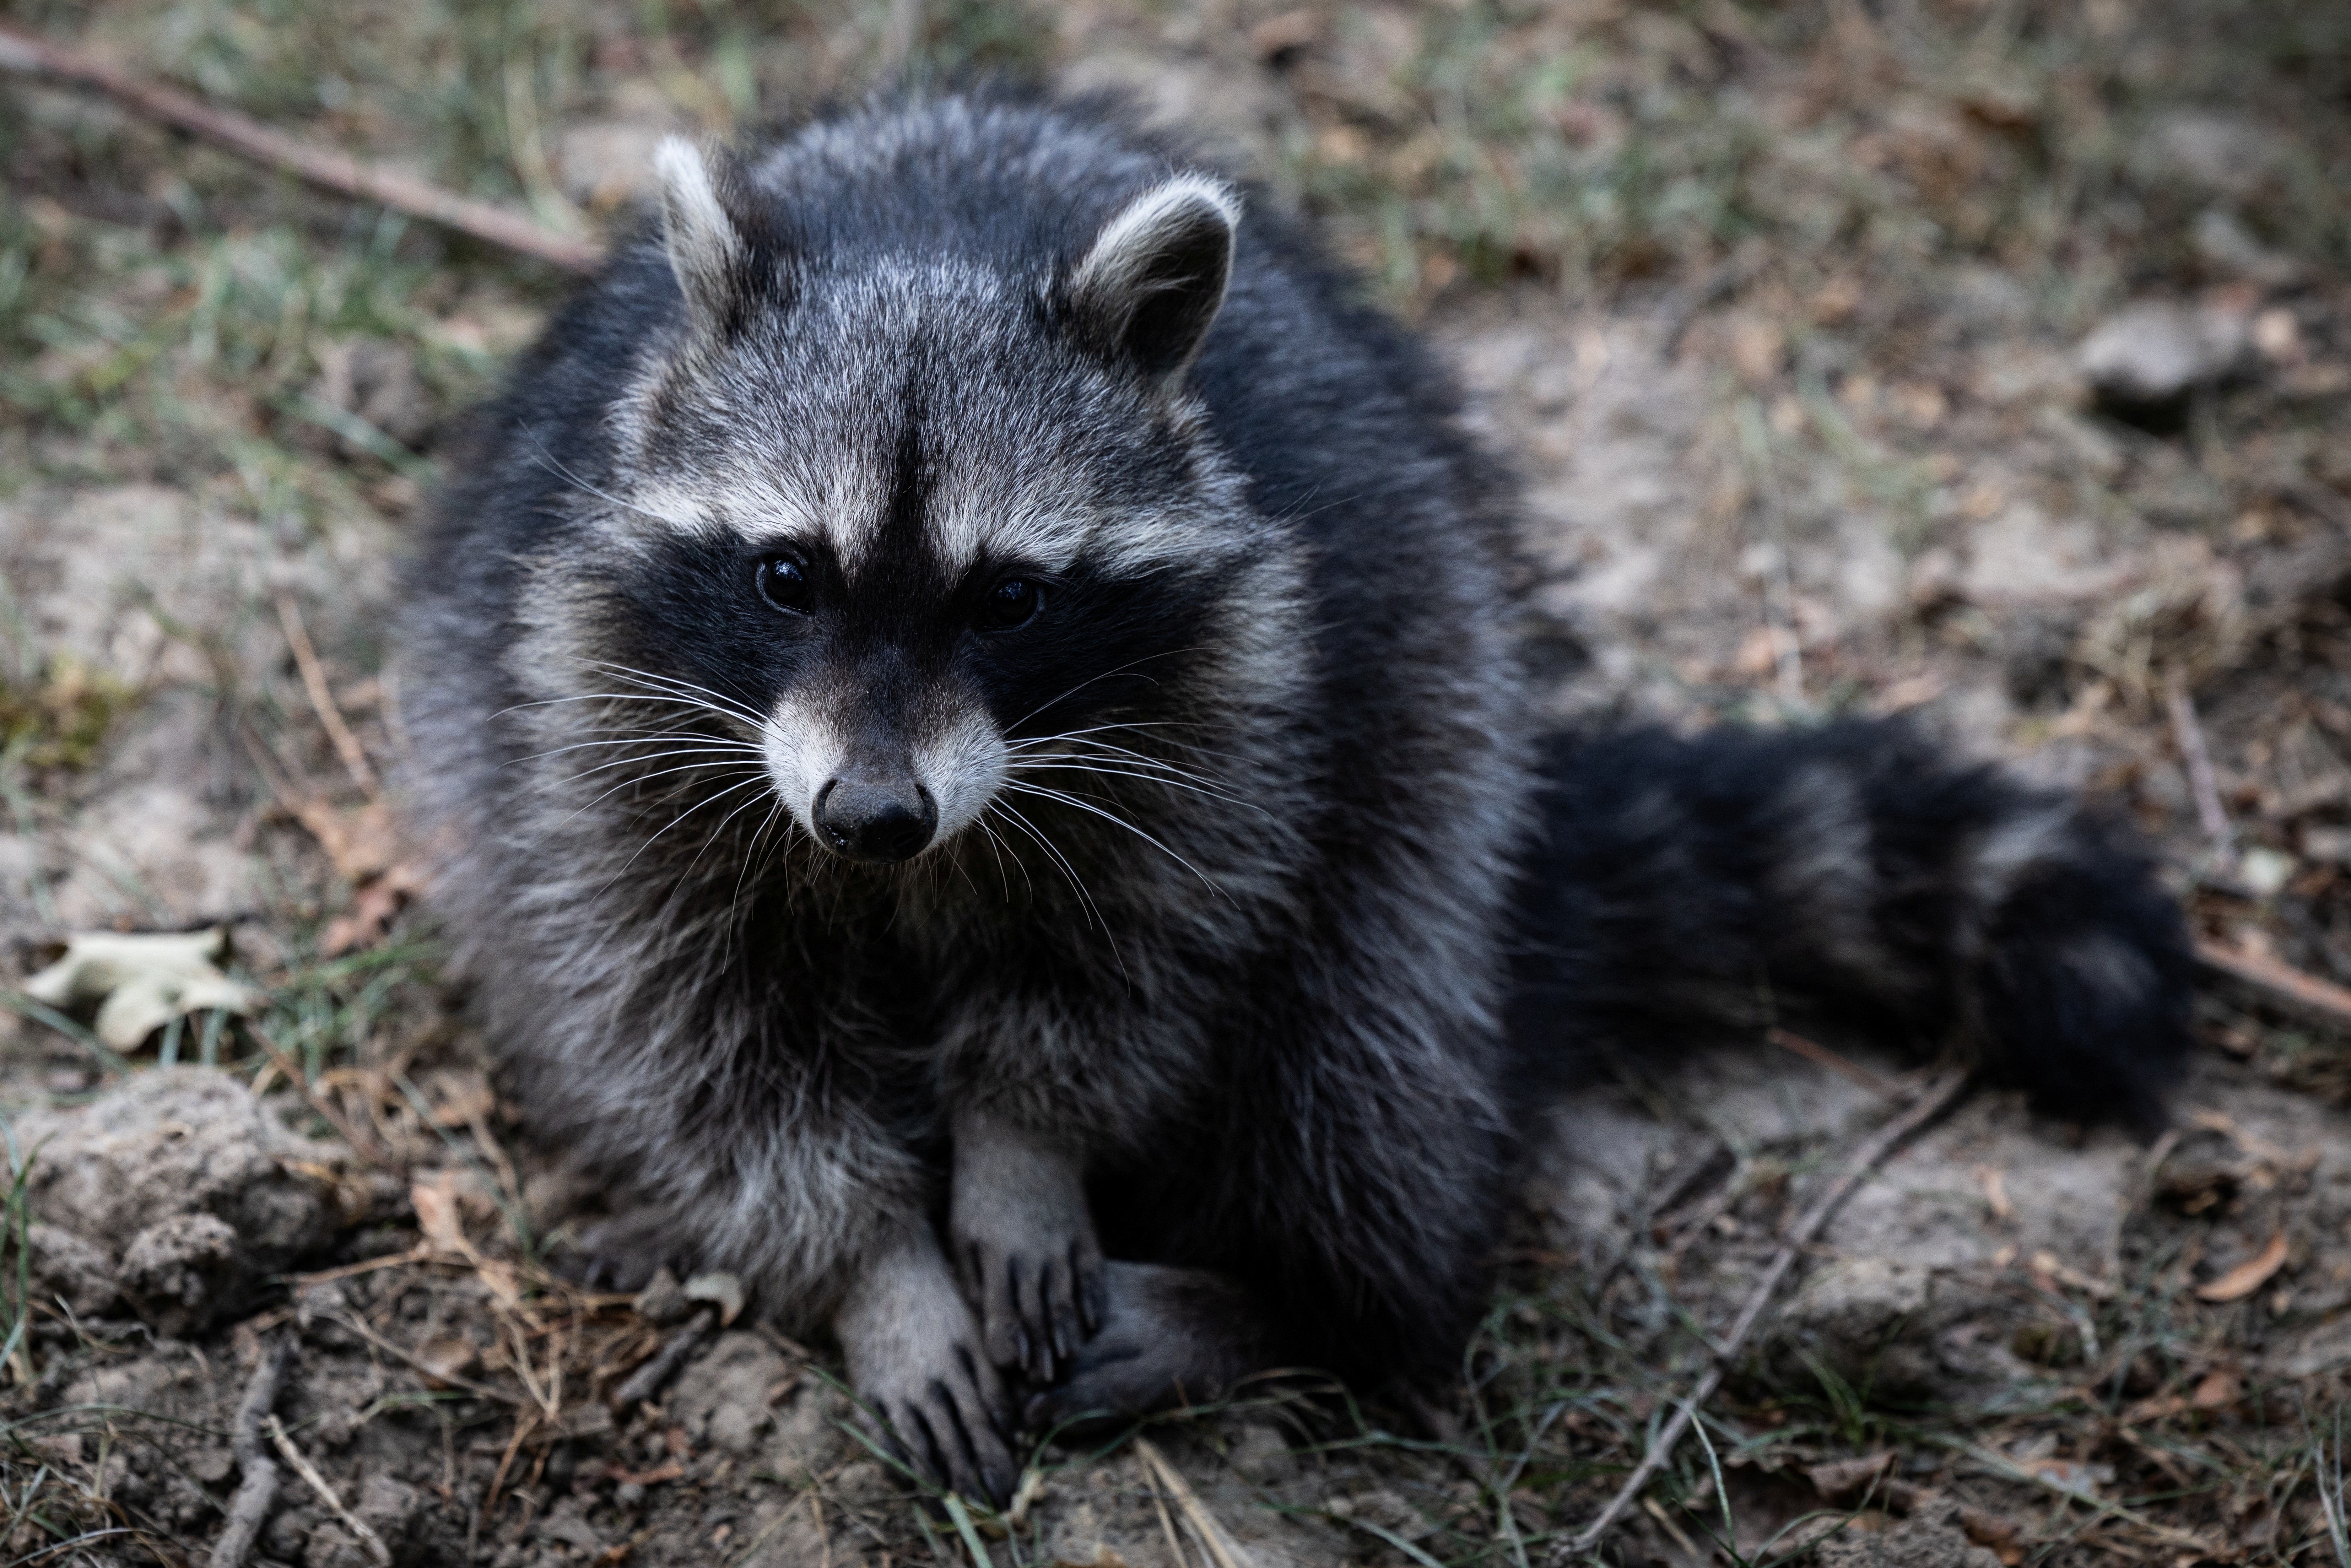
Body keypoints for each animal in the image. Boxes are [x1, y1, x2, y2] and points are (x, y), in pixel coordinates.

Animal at [399, 91, 2192, 1503]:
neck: (926, 243)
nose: (875, 819)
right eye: (788, 574)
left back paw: (1298, 1304)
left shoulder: (1235, 708)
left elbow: (1134, 956)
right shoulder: (594, 718)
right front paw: (876, 1269)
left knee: (1365, 1053)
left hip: (1434, 777)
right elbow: (693, 1027)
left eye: (1010, 599)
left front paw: (1025, 1147)